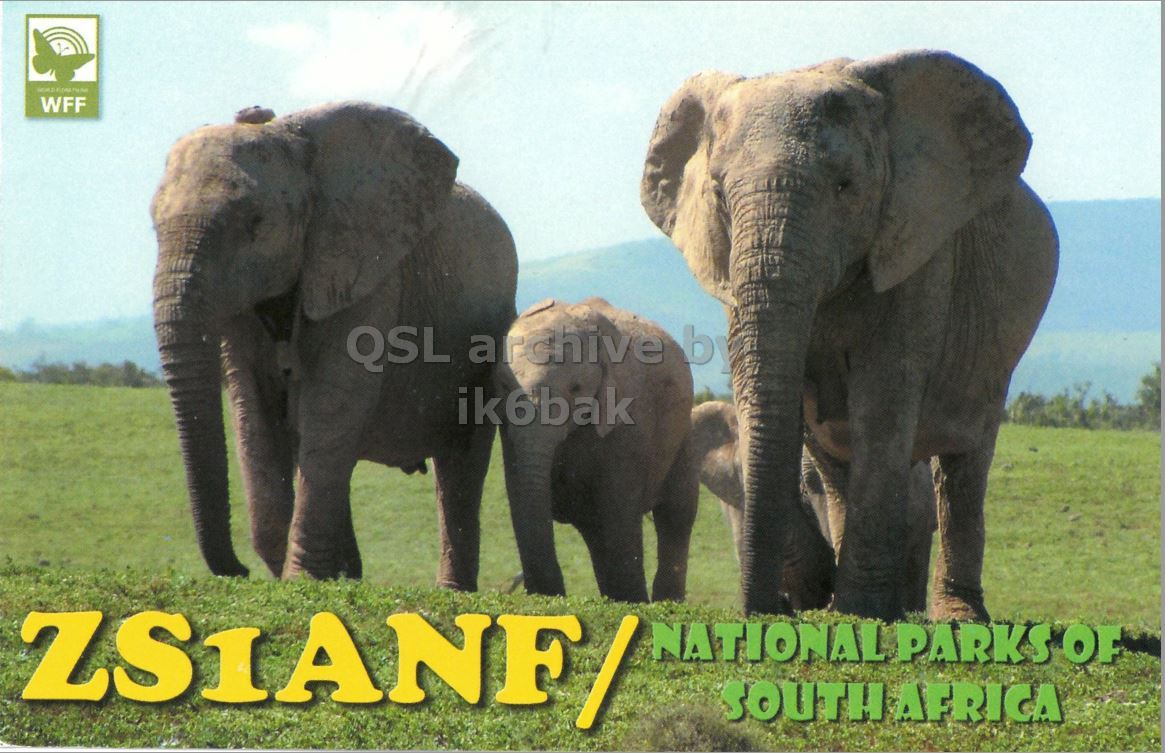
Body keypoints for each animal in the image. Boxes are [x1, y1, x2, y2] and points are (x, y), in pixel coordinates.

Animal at [151, 101, 517, 584]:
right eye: (153, 228)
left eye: (255, 224)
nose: (239, 572)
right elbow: (255, 412)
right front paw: (306, 578)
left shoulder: (368, 273)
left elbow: (331, 403)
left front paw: (303, 582)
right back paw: (351, 575)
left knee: (458, 466)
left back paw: (449, 591)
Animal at [495, 297, 699, 602]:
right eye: (504, 385)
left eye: (576, 388)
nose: (553, 595)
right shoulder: (508, 433)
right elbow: (519, 497)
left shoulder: (629, 419)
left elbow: (618, 512)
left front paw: (632, 602)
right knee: (596, 533)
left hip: (683, 435)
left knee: (676, 516)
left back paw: (664, 600)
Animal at [641, 50, 1058, 620]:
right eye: (719, 194)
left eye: (844, 187)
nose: (770, 610)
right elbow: (761, 386)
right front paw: (833, 600)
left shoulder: (917, 249)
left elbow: (882, 398)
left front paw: (862, 612)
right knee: (834, 459)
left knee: (964, 463)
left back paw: (955, 616)